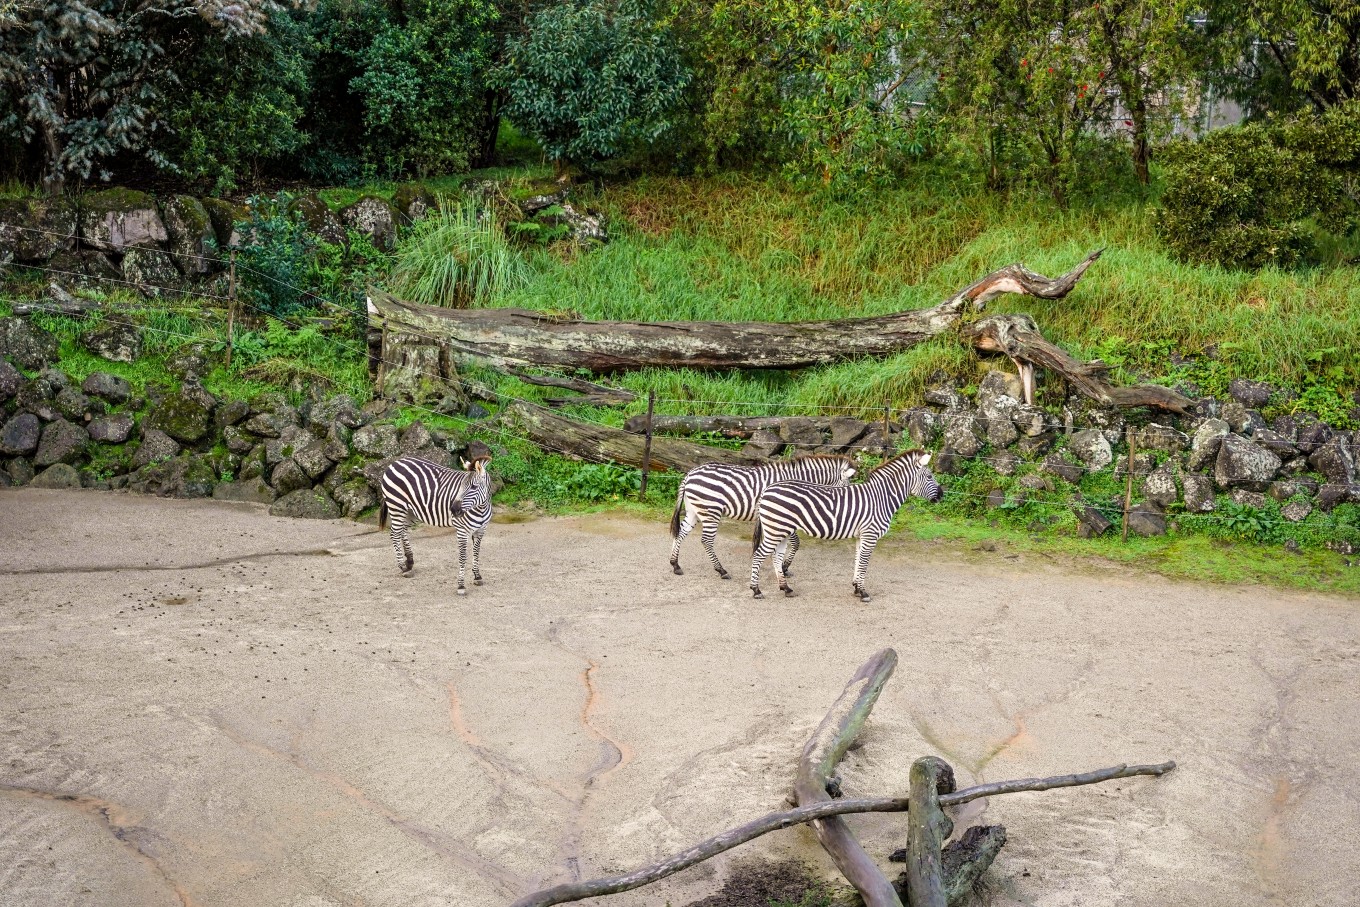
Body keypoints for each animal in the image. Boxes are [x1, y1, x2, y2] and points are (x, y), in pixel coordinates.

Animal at [378, 443, 494, 595]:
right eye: (461, 486)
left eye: (474, 487)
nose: (453, 510)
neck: (480, 508)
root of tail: (393, 463)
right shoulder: (462, 531)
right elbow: (463, 557)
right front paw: (461, 585)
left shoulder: (481, 530)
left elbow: (476, 552)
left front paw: (477, 576)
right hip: (397, 506)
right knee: (394, 533)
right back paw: (403, 567)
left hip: (411, 512)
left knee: (402, 530)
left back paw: (409, 562)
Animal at [669, 455, 856, 580]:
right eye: (845, 488)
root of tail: (690, 473)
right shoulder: (787, 517)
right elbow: (796, 543)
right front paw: (784, 567)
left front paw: (780, 567)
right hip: (711, 511)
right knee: (706, 540)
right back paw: (721, 571)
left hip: (694, 510)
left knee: (681, 532)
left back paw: (675, 564)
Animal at [748, 450, 942, 602]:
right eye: (929, 476)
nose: (942, 495)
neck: (881, 498)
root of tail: (767, 490)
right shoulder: (870, 534)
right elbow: (864, 562)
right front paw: (863, 592)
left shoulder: (861, 535)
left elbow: (858, 560)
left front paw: (856, 587)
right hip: (776, 529)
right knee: (758, 555)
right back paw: (756, 590)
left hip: (781, 530)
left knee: (776, 557)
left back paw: (786, 588)